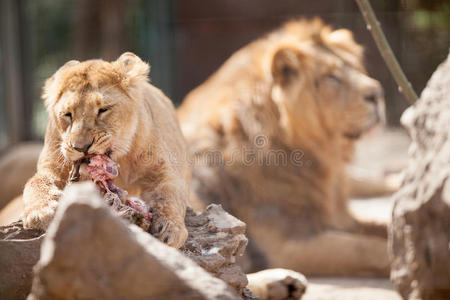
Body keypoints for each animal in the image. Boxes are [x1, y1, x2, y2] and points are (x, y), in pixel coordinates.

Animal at [22, 52, 190, 248]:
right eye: (67, 114)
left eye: (103, 109)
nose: (81, 147)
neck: (120, 161)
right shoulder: (51, 167)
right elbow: (34, 183)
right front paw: (41, 212)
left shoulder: (162, 170)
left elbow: (170, 195)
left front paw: (169, 229)